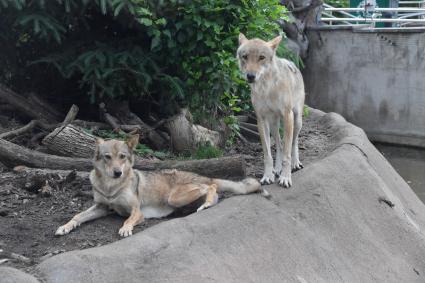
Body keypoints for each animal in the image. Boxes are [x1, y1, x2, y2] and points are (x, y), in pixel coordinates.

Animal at [54, 135, 266, 237]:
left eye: (122, 157)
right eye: (107, 157)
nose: (118, 172)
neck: (110, 186)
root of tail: (201, 175)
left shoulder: (136, 211)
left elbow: (128, 220)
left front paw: (125, 229)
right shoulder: (102, 207)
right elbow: (78, 216)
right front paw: (65, 227)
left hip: (176, 197)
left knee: (211, 187)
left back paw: (206, 203)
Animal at [235, 33, 304, 189]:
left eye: (262, 57)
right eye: (245, 56)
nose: (250, 76)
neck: (266, 88)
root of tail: (291, 63)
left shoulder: (288, 116)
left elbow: (287, 154)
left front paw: (285, 178)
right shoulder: (261, 120)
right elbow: (267, 154)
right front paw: (268, 176)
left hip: (297, 120)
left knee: (294, 142)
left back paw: (295, 163)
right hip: (273, 125)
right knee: (279, 145)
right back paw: (277, 169)